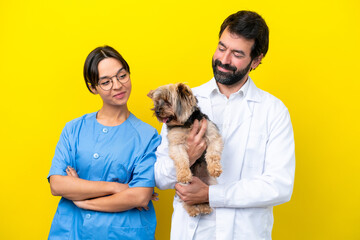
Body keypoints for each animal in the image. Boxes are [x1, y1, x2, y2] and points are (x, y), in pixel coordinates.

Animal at [147, 83, 222, 218]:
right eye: (157, 102)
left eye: (168, 101)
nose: (157, 111)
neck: (186, 123)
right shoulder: (177, 144)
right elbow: (181, 160)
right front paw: (184, 175)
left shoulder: (212, 135)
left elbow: (213, 154)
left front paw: (215, 169)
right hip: (182, 187)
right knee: (187, 200)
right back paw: (193, 210)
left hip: (210, 183)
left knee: (205, 196)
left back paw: (204, 207)